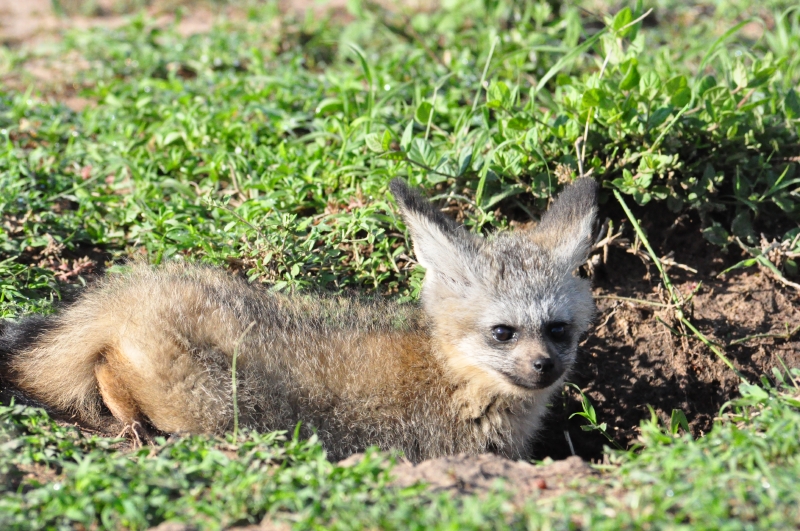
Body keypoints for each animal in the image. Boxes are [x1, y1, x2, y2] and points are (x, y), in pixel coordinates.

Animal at [0, 177, 597, 462]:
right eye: (503, 332)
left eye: (558, 330)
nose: (544, 367)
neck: (451, 376)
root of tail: (130, 294)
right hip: (216, 407)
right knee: (106, 369)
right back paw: (129, 424)